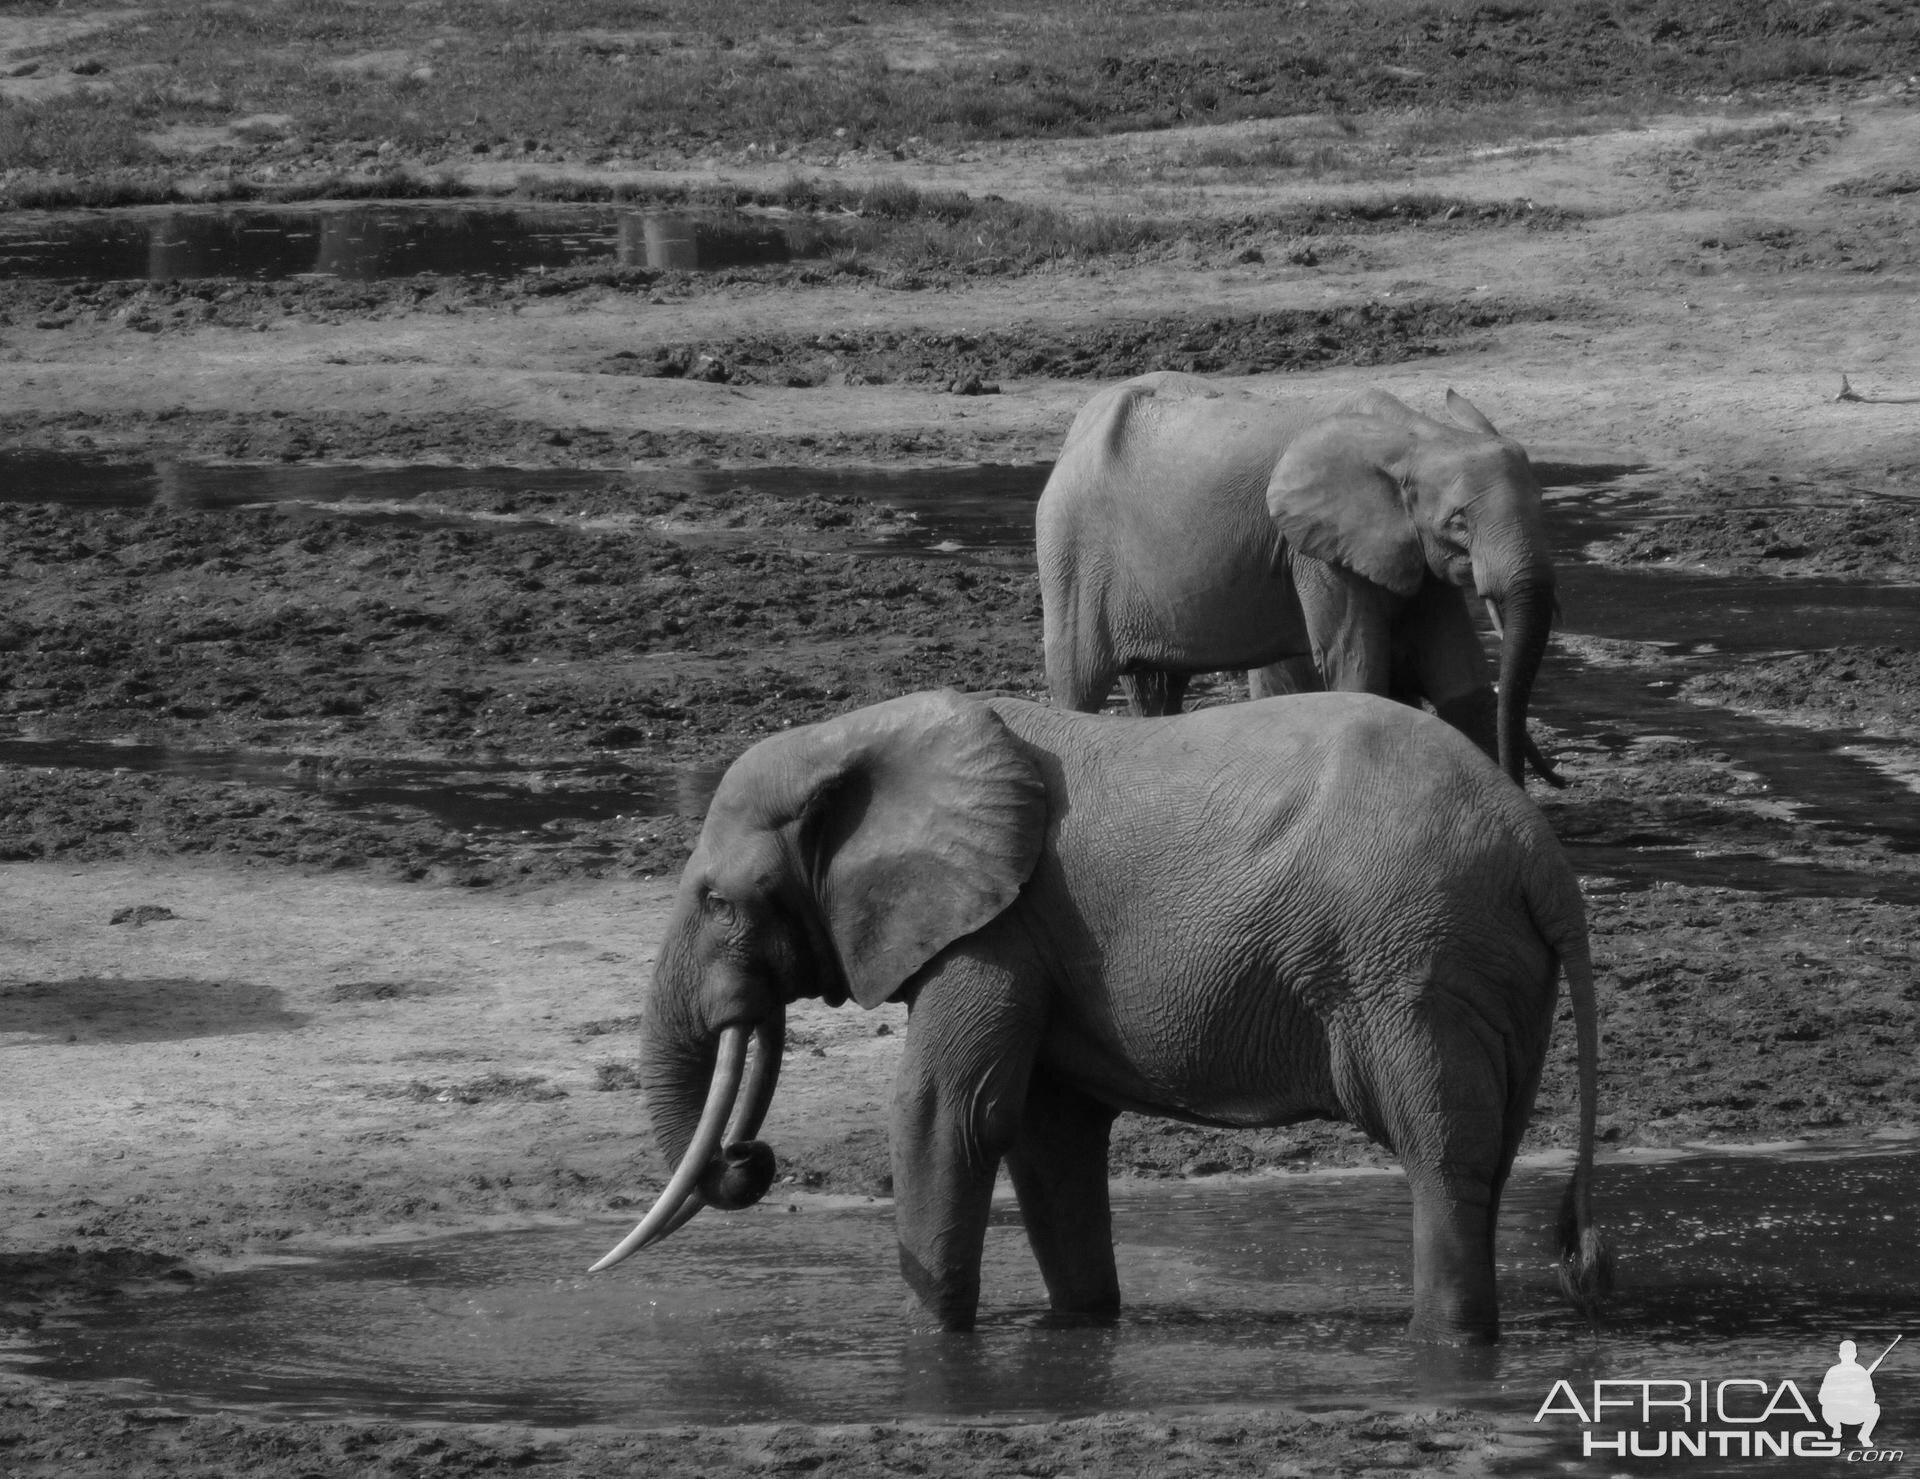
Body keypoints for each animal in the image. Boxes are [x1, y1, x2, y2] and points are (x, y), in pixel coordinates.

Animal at [595, 683, 1605, 1344]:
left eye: (720, 900)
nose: (747, 1158)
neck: (858, 738)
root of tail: (1537, 851)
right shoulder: (1025, 939)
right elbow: (1047, 1136)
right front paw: (1080, 1326)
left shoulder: (997, 929)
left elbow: (945, 1113)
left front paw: (929, 1348)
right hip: (1487, 971)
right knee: (1488, 1157)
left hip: (1415, 963)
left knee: (1441, 1154)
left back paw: (1445, 1346)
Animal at [1036, 368, 1559, 783]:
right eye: (1458, 523)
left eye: (1541, 504)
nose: (1554, 779)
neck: (1418, 437)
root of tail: (1075, 434)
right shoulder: (1313, 550)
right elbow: (1356, 664)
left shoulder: (1409, 548)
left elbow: (1459, 677)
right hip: (1069, 548)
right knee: (1079, 680)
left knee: (1157, 687)